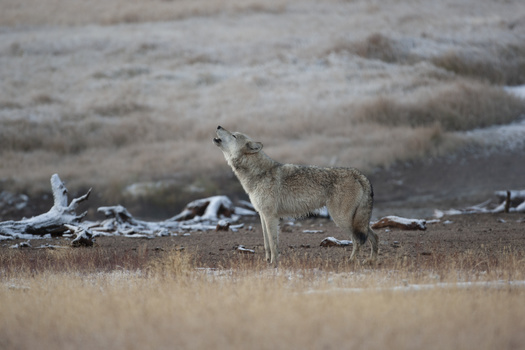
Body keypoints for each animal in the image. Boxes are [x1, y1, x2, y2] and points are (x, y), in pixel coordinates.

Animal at [213, 126, 376, 266]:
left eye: (234, 135)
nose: (219, 126)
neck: (258, 174)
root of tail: (357, 173)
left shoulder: (271, 216)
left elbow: (273, 244)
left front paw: (274, 263)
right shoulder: (262, 215)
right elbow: (266, 243)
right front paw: (267, 261)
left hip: (342, 220)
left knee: (358, 240)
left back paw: (351, 261)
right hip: (355, 221)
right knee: (374, 236)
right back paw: (371, 260)